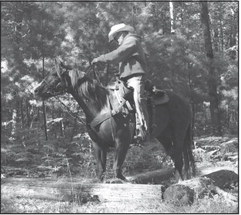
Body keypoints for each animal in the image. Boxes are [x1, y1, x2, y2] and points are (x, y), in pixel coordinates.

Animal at [34, 58, 196, 181]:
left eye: (54, 74)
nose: (36, 90)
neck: (102, 106)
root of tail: (185, 102)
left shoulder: (122, 141)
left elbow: (116, 169)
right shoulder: (98, 145)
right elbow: (101, 171)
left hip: (179, 134)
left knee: (180, 157)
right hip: (164, 136)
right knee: (175, 157)